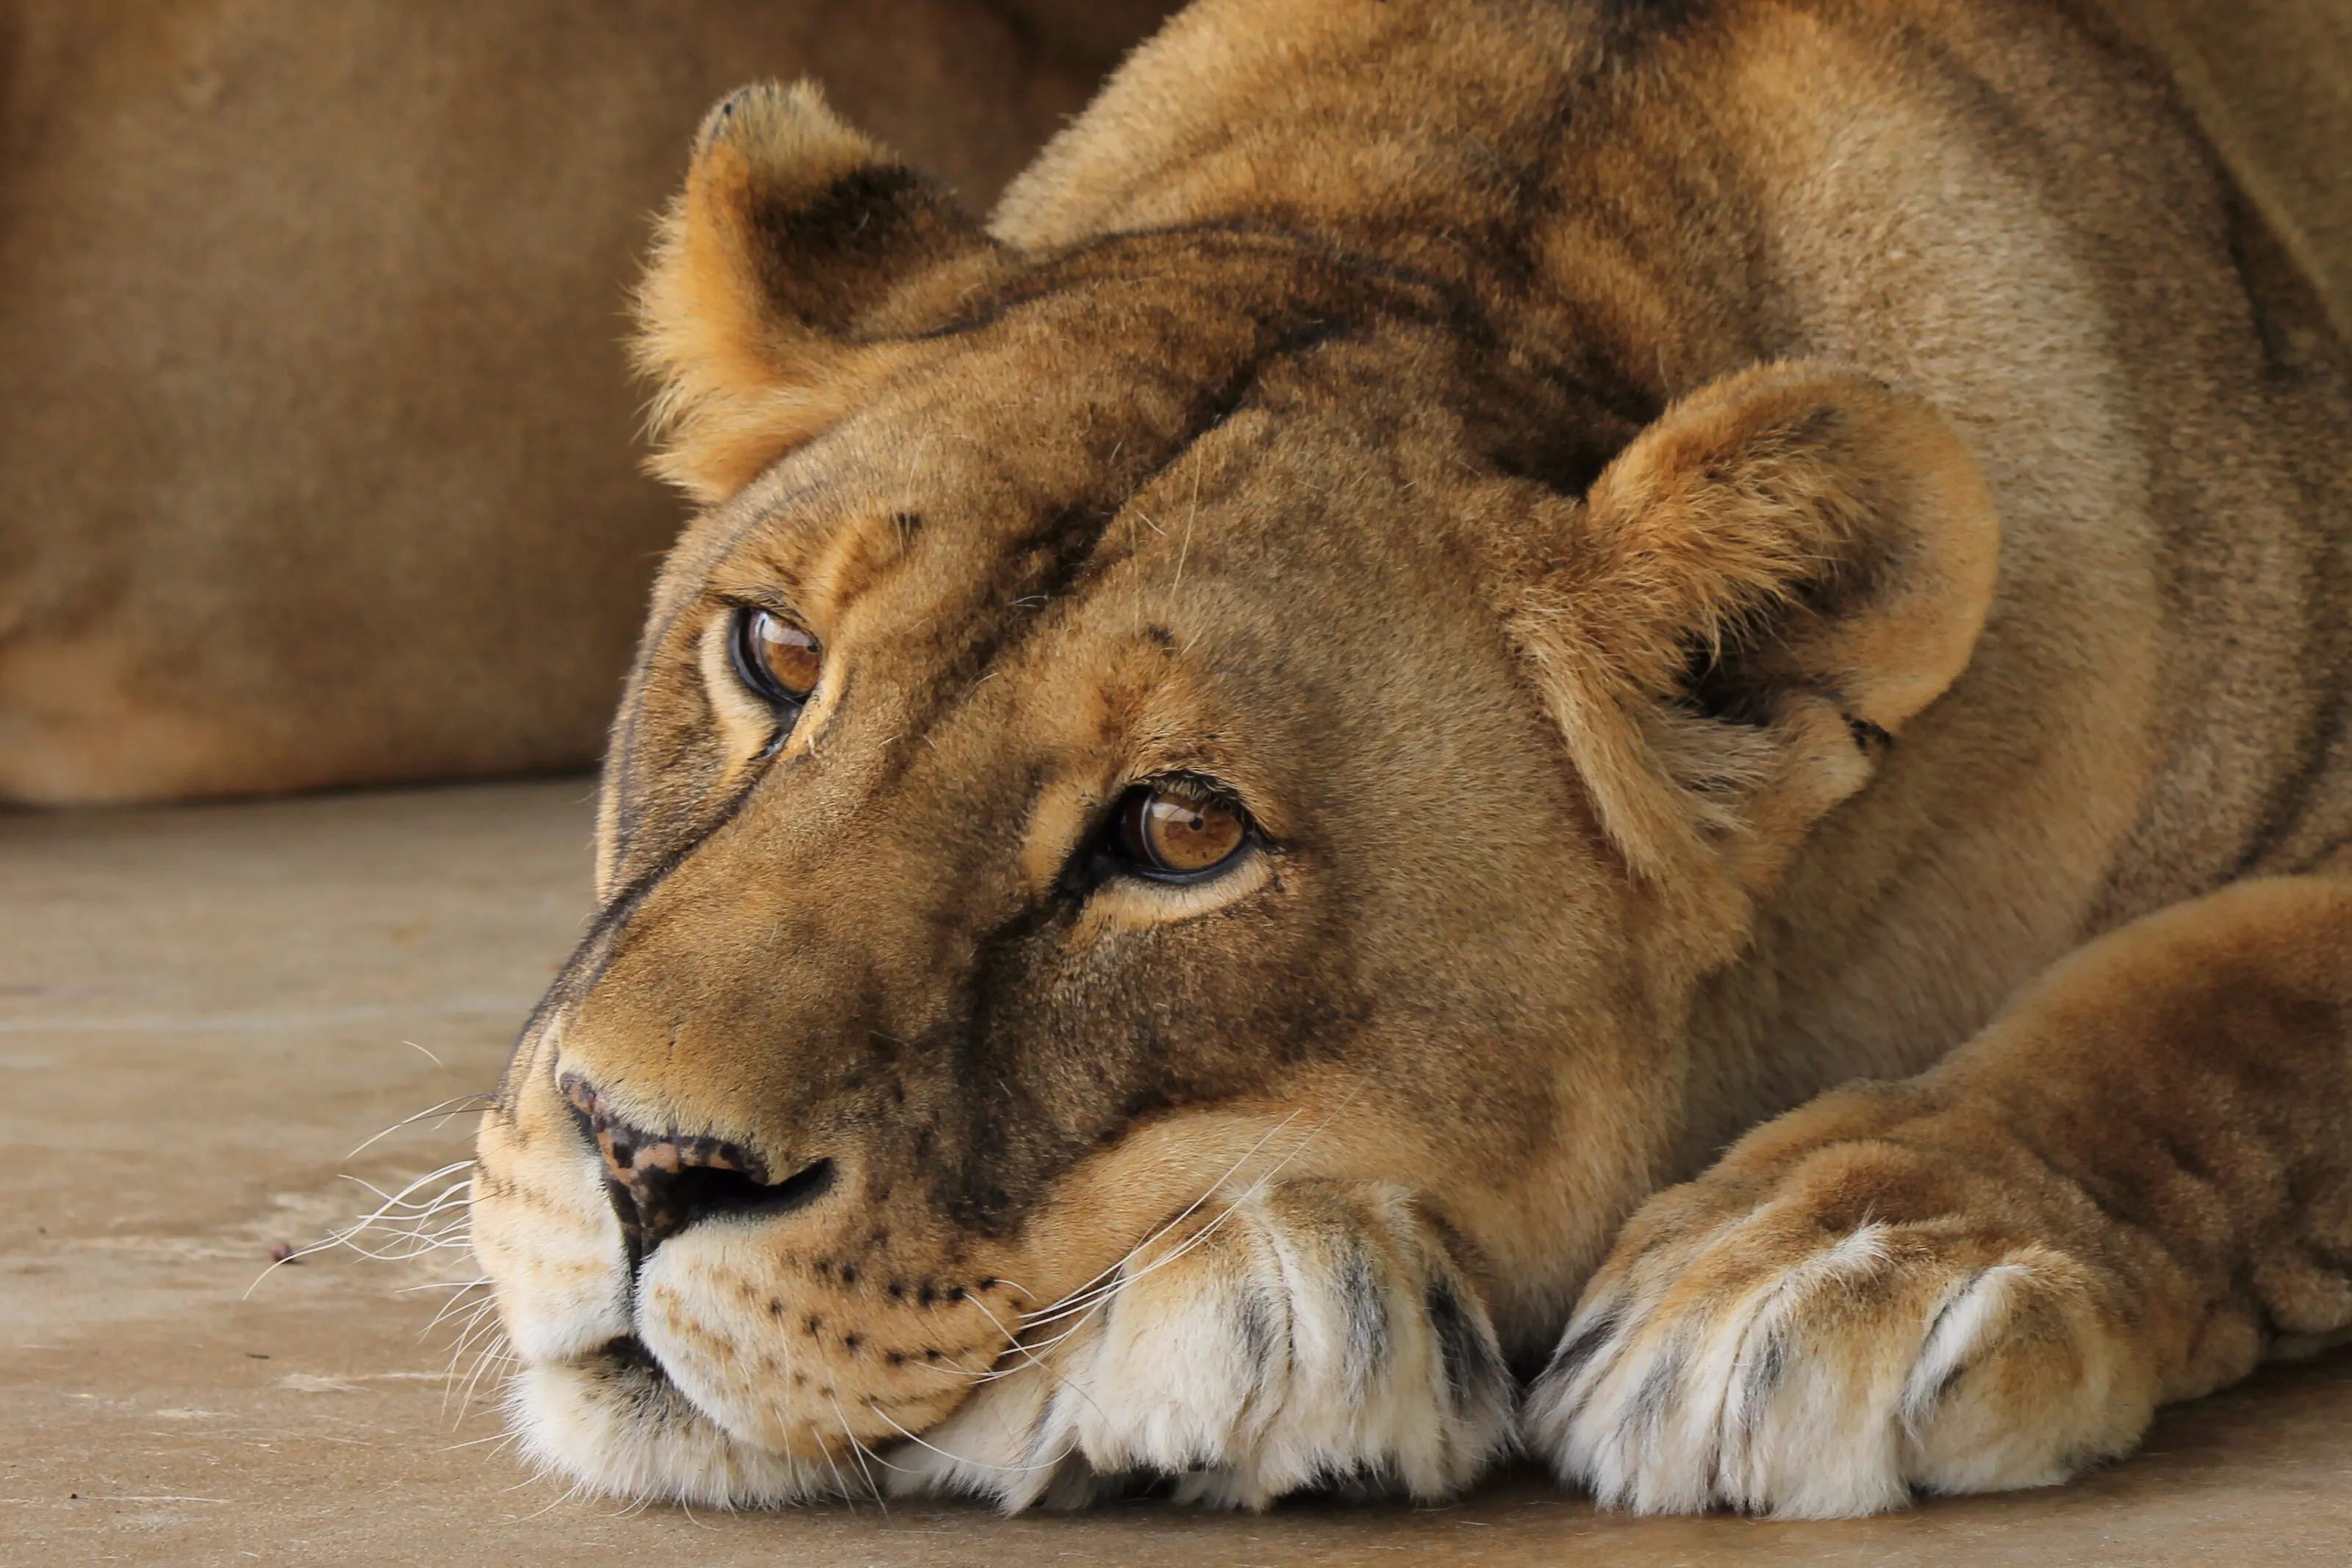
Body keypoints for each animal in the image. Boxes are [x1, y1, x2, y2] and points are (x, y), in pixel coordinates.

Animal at [469, 0, 2352, 1520]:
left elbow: (2209, 995)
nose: (642, 1159)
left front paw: (1827, 1270)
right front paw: (1266, 1282)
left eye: (1180, 829)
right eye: (773, 654)